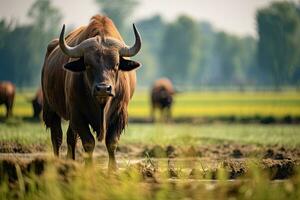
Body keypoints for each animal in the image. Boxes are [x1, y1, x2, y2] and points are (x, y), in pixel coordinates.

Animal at [41, 14, 142, 170]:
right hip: (50, 108)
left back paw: (70, 162)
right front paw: (89, 168)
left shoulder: (120, 114)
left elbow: (111, 142)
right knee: (56, 137)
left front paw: (113, 169)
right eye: (88, 64)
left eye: (116, 64)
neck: (101, 104)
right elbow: (88, 142)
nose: (103, 88)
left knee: (70, 137)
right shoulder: (77, 113)